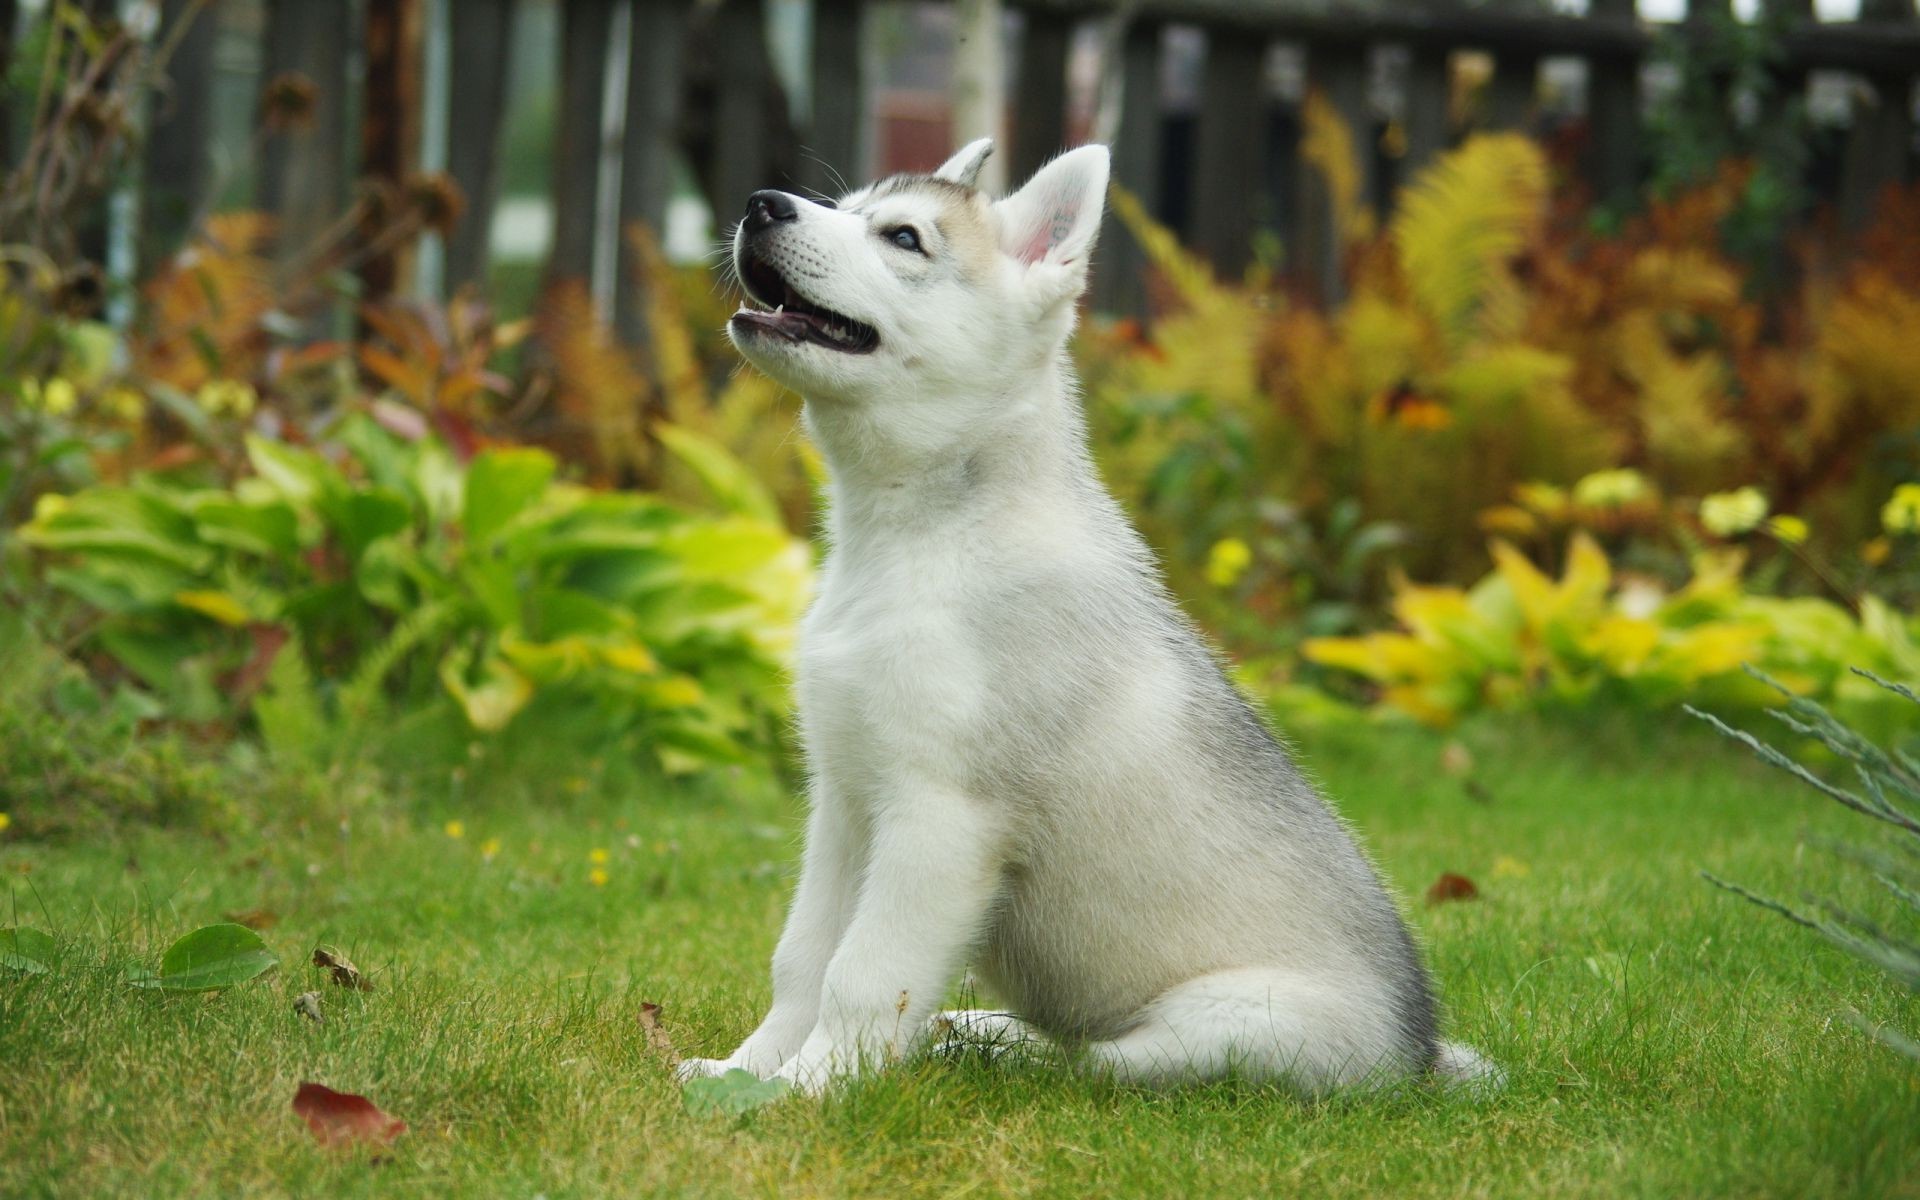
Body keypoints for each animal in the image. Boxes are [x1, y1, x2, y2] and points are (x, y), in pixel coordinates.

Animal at [675, 140, 1497, 1098]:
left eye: (904, 237)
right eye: (842, 207)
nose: (762, 203)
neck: (911, 539)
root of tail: (1420, 1056)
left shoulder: (942, 816)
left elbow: (864, 973)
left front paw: (808, 1089)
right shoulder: (844, 804)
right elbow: (802, 959)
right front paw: (740, 1072)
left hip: (1221, 1025)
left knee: (1095, 1064)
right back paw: (975, 1031)